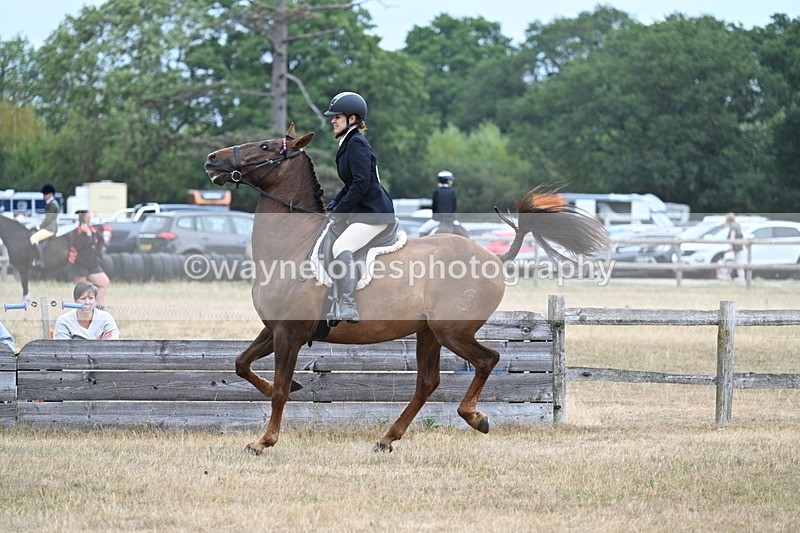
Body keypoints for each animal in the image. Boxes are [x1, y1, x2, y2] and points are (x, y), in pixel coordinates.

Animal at [205, 124, 609, 454]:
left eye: (266, 146)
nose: (211, 160)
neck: (293, 244)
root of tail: (494, 258)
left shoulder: (289, 332)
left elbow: (279, 390)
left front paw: (263, 441)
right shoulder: (274, 330)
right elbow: (242, 365)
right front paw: (290, 393)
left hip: (451, 331)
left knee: (486, 360)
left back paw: (474, 417)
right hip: (428, 333)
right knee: (427, 383)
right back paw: (388, 438)